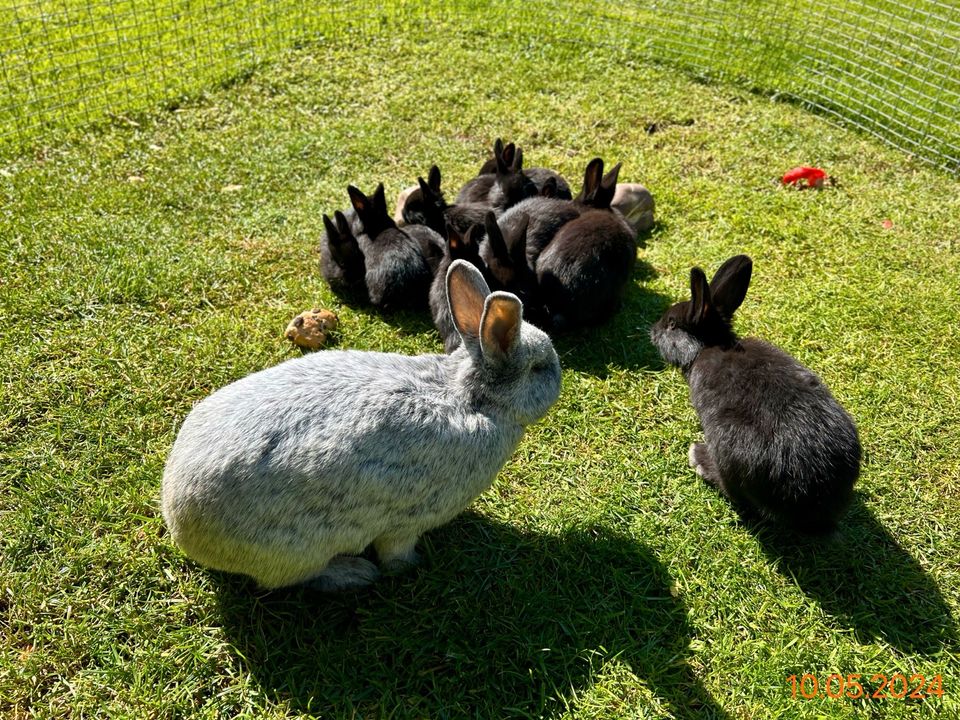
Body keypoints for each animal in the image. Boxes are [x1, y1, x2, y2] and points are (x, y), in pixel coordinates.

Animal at [160, 258, 560, 592]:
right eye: (540, 368)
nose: (559, 376)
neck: (470, 396)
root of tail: (179, 521)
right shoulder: (405, 524)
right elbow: (396, 553)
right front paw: (412, 565)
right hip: (297, 551)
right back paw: (354, 573)